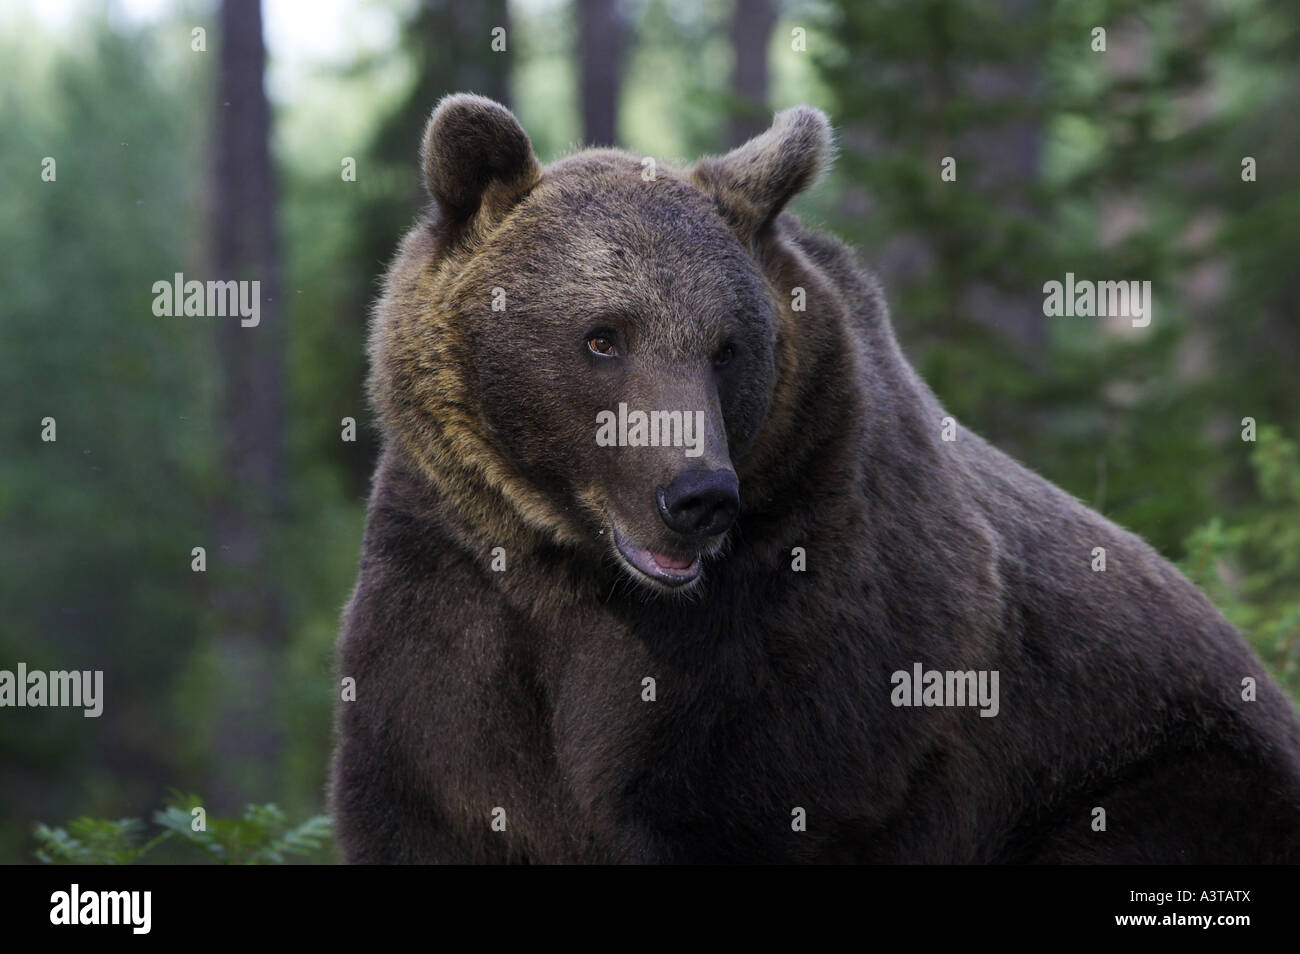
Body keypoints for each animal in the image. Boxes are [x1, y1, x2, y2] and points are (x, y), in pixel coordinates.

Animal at [330, 93, 1300, 863]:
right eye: (603, 336)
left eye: (727, 346)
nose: (697, 496)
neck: (581, 571)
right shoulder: (452, 605)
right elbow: (433, 789)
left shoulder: (807, 640)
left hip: (1166, 769)